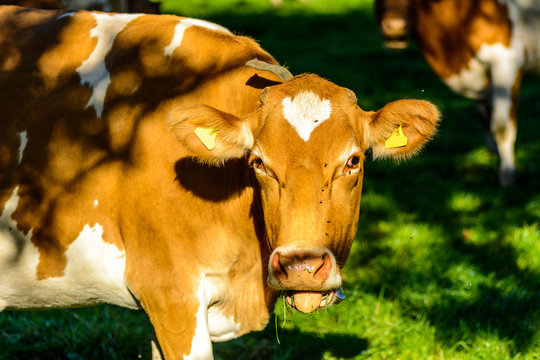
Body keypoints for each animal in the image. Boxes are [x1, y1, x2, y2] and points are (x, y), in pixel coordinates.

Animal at [376, 0, 540, 186]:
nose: (395, 26)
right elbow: (485, 116)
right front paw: (493, 154)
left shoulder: (506, 60)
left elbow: (501, 126)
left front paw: (507, 175)